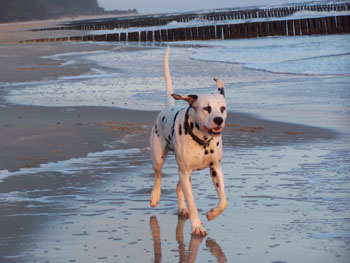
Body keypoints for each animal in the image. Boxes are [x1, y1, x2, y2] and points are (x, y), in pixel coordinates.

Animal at [150, 47, 227, 237]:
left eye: (222, 108)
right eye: (206, 108)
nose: (219, 120)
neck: (203, 141)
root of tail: (169, 106)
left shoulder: (215, 168)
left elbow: (223, 201)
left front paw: (212, 213)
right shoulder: (185, 172)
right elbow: (192, 203)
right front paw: (197, 226)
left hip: (186, 173)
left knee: (178, 186)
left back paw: (181, 208)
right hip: (159, 158)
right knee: (158, 175)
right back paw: (155, 195)